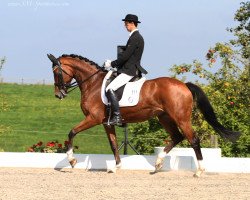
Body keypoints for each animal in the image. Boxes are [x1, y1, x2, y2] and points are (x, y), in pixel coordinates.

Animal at [47, 53, 240, 177]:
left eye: (56, 72)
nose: (58, 94)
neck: (93, 83)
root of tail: (184, 85)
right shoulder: (106, 123)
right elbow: (113, 145)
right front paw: (116, 167)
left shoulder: (93, 118)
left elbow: (71, 132)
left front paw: (72, 160)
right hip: (164, 117)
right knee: (176, 137)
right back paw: (158, 164)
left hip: (181, 118)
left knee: (193, 139)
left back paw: (199, 170)